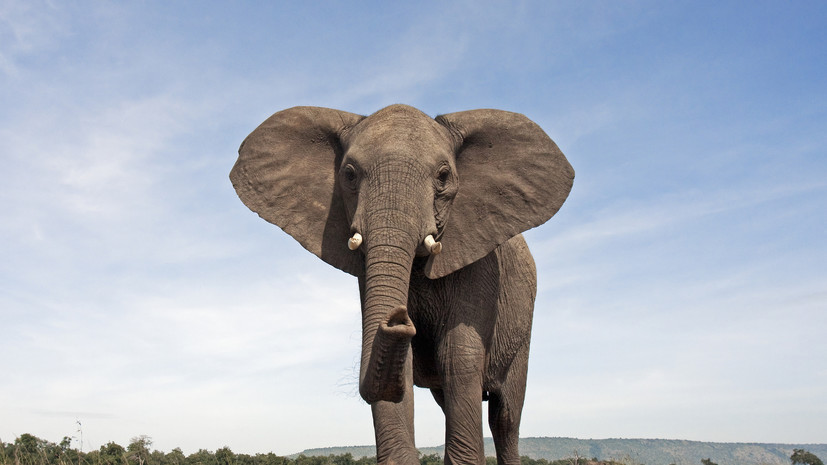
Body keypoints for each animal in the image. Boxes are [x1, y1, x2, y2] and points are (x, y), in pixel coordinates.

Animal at [230, 104, 573, 465]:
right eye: (349, 174)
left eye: (443, 176)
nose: (398, 318)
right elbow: (398, 360)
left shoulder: (480, 263)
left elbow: (458, 355)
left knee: (505, 416)